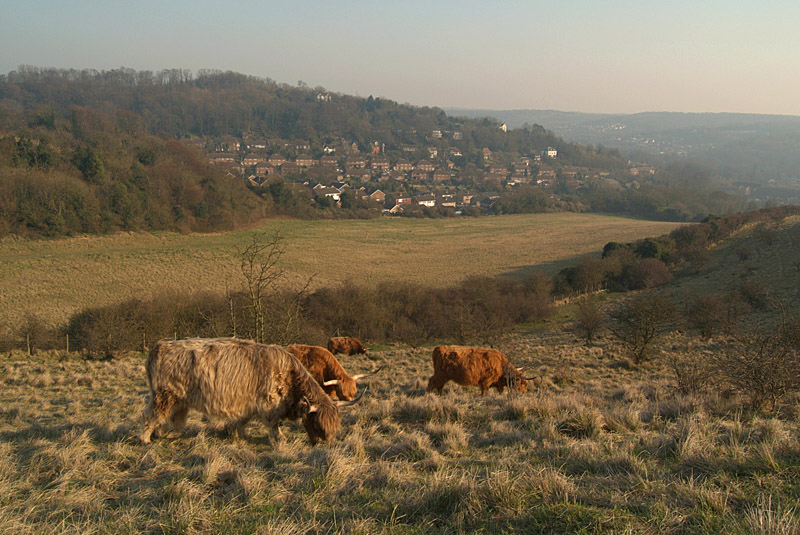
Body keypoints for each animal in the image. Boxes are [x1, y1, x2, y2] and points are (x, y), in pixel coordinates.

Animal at [139, 340, 360, 448]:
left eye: (334, 428)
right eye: (317, 425)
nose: (325, 445)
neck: (289, 376)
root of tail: (157, 348)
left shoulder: (250, 404)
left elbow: (242, 421)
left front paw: (235, 432)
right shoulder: (269, 404)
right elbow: (273, 425)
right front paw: (280, 439)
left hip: (177, 399)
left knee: (164, 416)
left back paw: (161, 433)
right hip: (165, 394)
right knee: (152, 414)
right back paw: (145, 438)